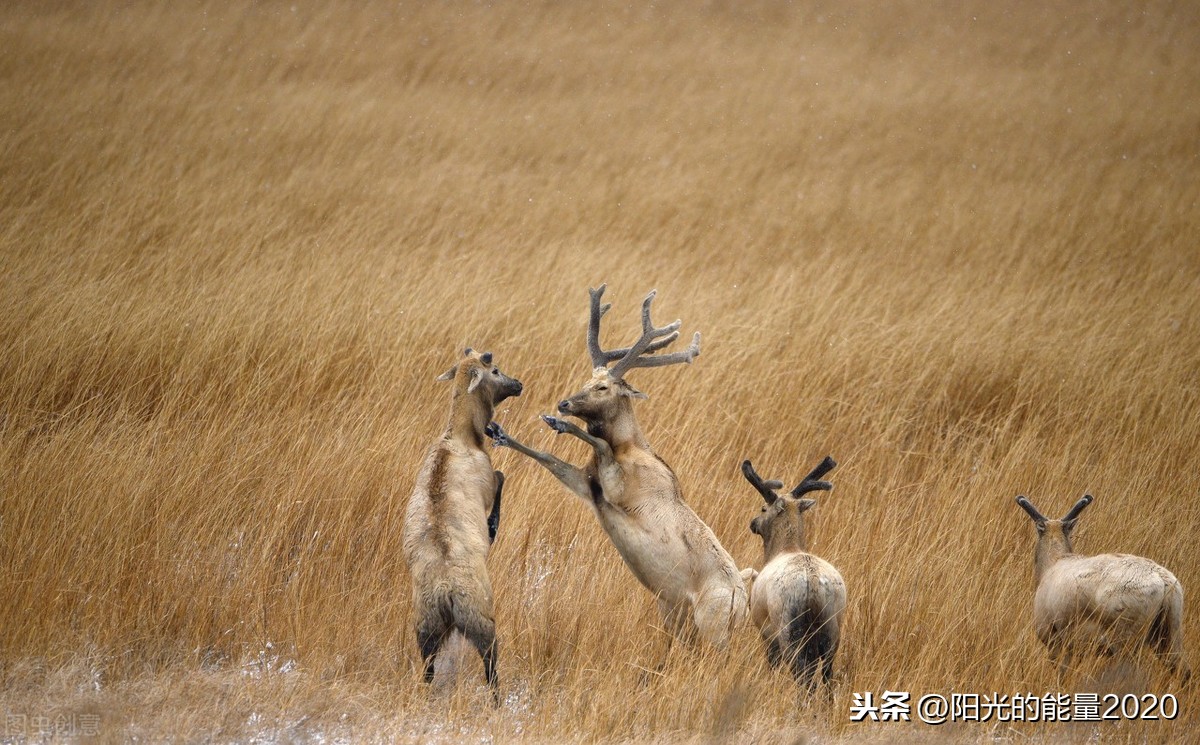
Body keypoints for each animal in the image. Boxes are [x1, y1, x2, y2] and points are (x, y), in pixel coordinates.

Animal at [400, 345, 523, 700]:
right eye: (494, 370)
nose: (519, 384)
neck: (464, 436)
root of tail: (447, 593)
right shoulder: (488, 481)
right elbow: (501, 474)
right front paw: (492, 528)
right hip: (481, 620)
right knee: (491, 669)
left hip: (425, 627)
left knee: (427, 671)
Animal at [480, 287, 744, 647]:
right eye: (588, 379)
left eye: (603, 387)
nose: (564, 403)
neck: (630, 446)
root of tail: (744, 605)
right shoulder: (589, 486)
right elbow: (550, 459)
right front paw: (500, 432)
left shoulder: (622, 490)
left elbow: (599, 445)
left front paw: (560, 424)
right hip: (677, 616)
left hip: (712, 626)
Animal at [734, 455, 849, 686]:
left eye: (763, 508)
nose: (753, 523)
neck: (784, 548)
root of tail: (814, 588)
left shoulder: (765, 629)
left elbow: (772, 667)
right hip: (833, 629)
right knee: (827, 676)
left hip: (789, 629)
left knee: (803, 675)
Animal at [1012, 494, 1190, 681]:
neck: (1053, 562)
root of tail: (1163, 580)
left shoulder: (1053, 639)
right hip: (1170, 632)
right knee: (1183, 670)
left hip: (1126, 641)